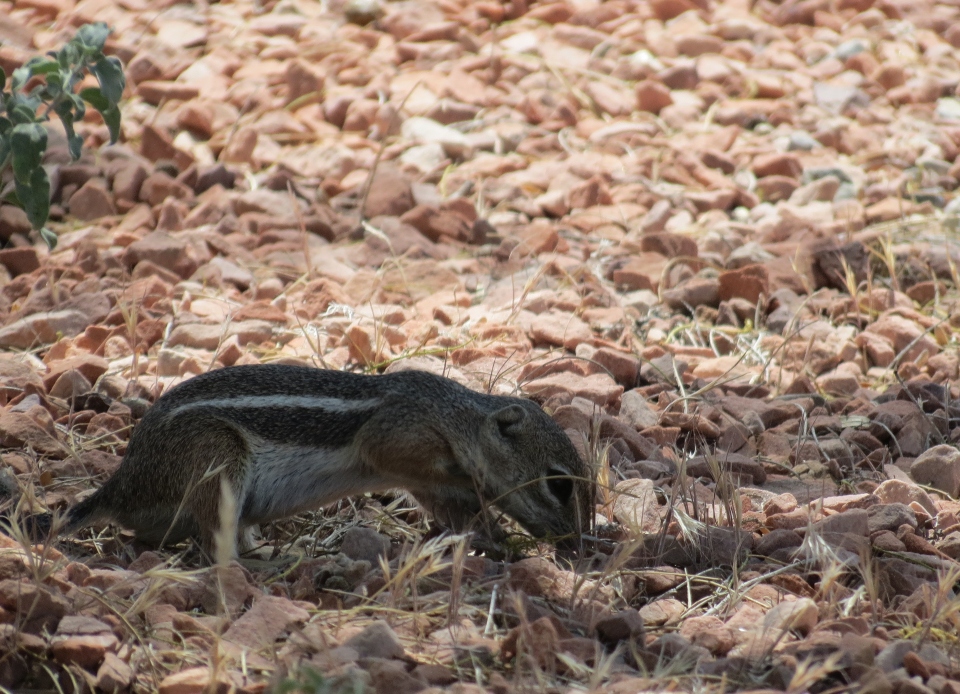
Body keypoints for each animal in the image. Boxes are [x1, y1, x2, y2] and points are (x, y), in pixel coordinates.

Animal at [59, 364, 593, 561]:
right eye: (560, 484)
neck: (453, 414)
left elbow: (461, 515)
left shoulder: (428, 487)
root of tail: (121, 485)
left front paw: (497, 540)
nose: (580, 543)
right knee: (214, 540)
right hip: (218, 459)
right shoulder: (400, 437)